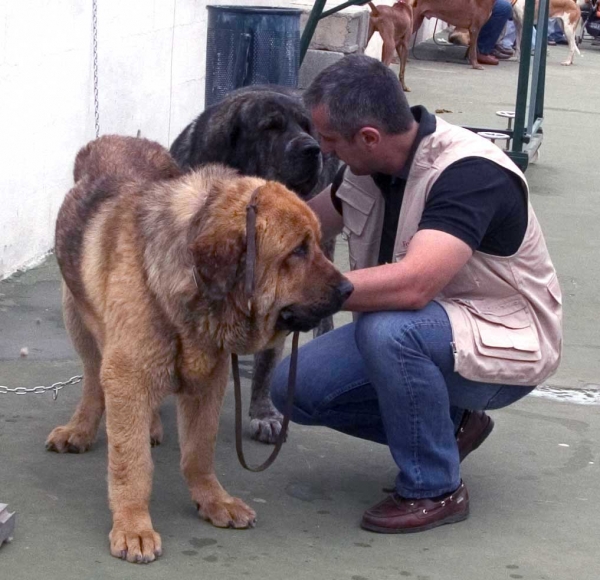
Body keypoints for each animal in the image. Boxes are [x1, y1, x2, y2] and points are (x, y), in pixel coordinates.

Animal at [49, 135, 354, 560]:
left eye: (316, 244)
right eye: (298, 250)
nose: (349, 289)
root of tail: (117, 138)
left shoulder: (209, 380)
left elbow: (198, 450)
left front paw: (213, 500)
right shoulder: (127, 373)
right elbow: (132, 465)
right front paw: (133, 525)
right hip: (78, 319)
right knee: (94, 381)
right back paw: (81, 428)